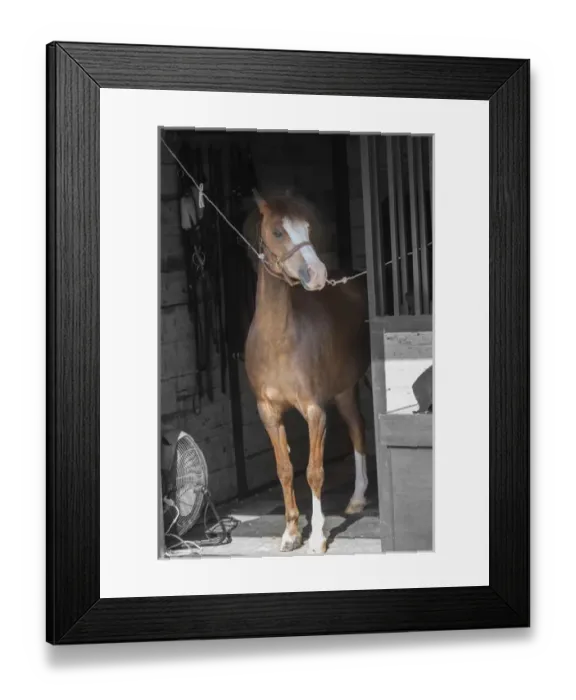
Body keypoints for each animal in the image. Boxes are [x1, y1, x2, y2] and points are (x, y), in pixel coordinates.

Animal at [243, 191, 371, 554]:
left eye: (308, 228)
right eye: (277, 232)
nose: (316, 274)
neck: (278, 340)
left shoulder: (315, 411)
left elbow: (315, 472)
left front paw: (317, 536)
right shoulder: (268, 412)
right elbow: (285, 470)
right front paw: (290, 533)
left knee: (358, 430)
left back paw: (357, 497)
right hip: (344, 390)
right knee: (357, 427)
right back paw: (357, 500)